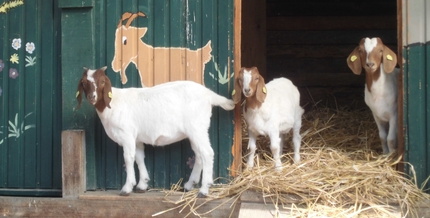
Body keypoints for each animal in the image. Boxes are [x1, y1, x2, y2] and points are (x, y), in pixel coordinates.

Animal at [74, 66, 235, 196]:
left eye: (102, 82)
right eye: (84, 83)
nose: (92, 97)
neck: (113, 103)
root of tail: (208, 94)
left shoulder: (127, 134)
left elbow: (128, 158)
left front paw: (127, 188)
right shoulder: (137, 138)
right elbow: (139, 157)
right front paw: (142, 184)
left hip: (197, 128)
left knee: (207, 153)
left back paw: (204, 190)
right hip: (195, 131)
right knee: (199, 154)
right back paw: (190, 185)